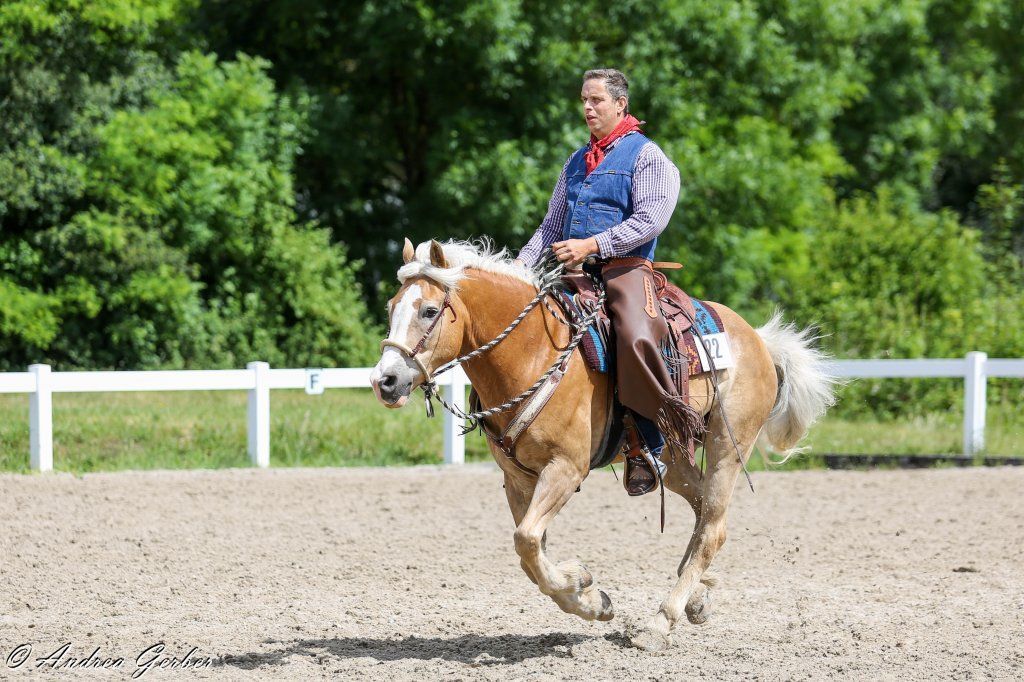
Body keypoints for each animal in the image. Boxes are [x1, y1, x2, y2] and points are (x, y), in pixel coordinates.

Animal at [370, 238, 836, 651]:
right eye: (392, 309)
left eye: (430, 310)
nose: (384, 381)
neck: (534, 354)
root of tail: (755, 338)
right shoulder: (518, 479)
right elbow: (530, 552)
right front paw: (592, 599)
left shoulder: (565, 468)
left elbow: (527, 541)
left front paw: (581, 584)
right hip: (674, 458)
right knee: (704, 511)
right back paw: (698, 597)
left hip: (728, 444)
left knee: (713, 528)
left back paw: (661, 622)